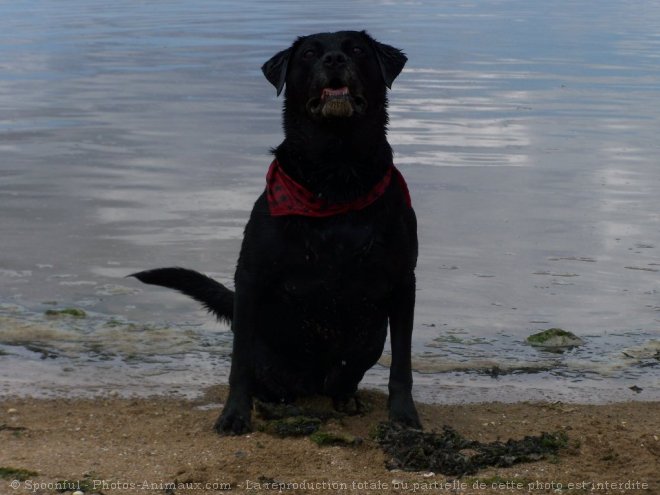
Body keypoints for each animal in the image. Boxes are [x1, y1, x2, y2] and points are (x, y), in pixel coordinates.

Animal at [133, 30, 420, 434]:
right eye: (310, 53)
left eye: (357, 49)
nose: (334, 59)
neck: (337, 175)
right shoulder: (251, 275)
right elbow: (238, 365)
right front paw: (234, 414)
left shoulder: (403, 278)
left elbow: (402, 363)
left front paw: (404, 415)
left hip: (371, 339)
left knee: (344, 378)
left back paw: (346, 399)